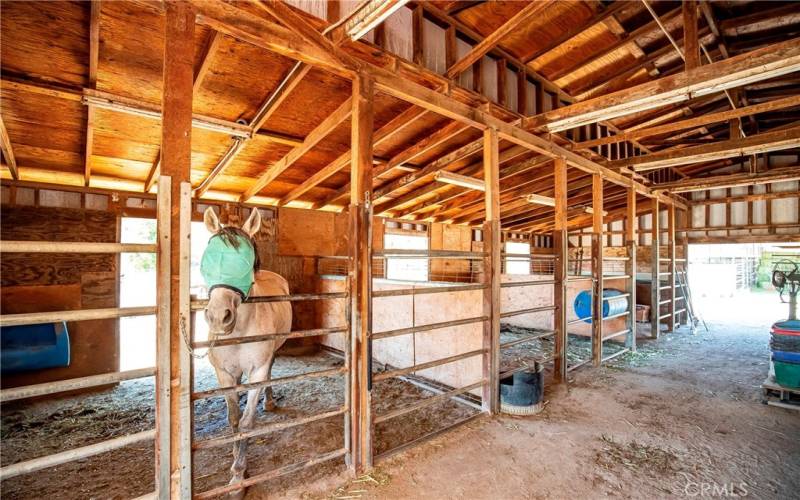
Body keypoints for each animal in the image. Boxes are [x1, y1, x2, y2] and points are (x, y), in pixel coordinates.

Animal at [200, 205, 290, 494]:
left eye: (246, 261)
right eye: (208, 259)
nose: (219, 317)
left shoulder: (258, 370)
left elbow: (247, 422)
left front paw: (239, 477)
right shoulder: (224, 373)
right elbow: (233, 418)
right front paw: (234, 456)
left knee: (270, 374)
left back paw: (269, 401)